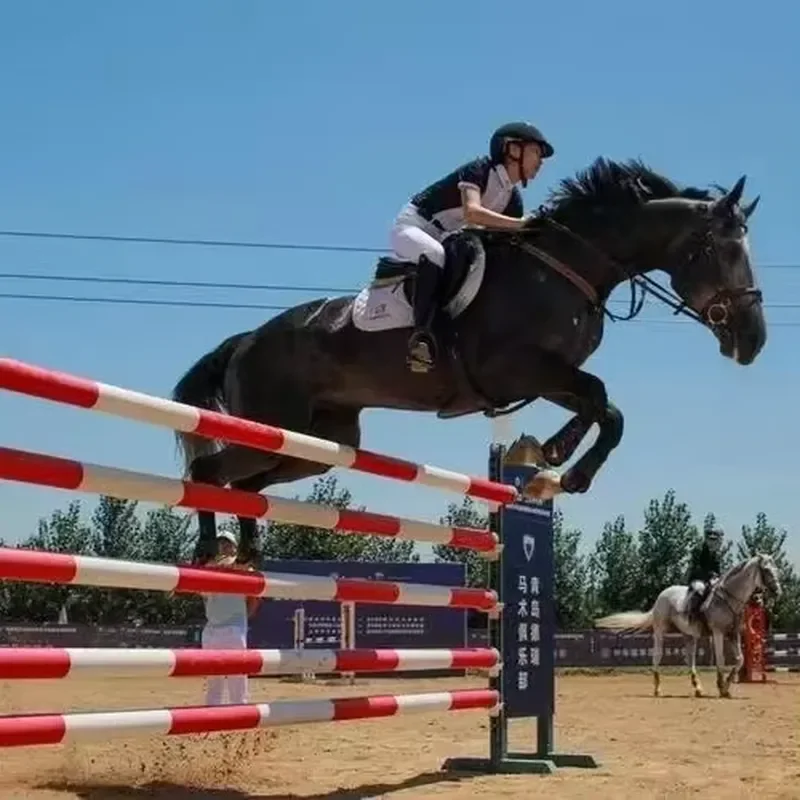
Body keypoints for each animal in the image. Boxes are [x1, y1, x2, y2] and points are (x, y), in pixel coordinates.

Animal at [171, 156, 767, 564]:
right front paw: (563, 468)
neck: (567, 266)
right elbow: (602, 399)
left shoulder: (545, 377)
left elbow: (604, 407)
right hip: (272, 426)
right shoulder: (517, 368)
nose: (753, 341)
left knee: (248, 486)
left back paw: (249, 556)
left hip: (317, 444)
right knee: (208, 471)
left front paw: (554, 463)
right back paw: (209, 553)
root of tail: (246, 341)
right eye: (723, 251)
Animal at [594, 553, 782, 698]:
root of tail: (662, 595)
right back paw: (657, 689)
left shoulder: (733, 634)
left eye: (776, 569)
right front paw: (721, 687)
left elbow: (740, 660)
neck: (728, 599)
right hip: (660, 631)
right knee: (657, 655)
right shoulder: (718, 633)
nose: (777, 591)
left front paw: (727, 686)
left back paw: (697, 688)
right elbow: (721, 660)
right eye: (766, 570)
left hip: (689, 635)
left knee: (689, 658)